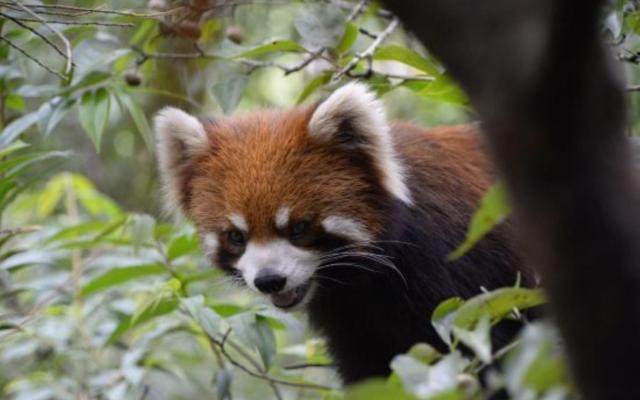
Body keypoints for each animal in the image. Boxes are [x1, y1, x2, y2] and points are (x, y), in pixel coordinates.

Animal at [154, 82, 536, 384]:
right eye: (236, 236)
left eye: (299, 228)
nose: (269, 280)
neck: (362, 283)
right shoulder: (352, 323)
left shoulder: (461, 273)